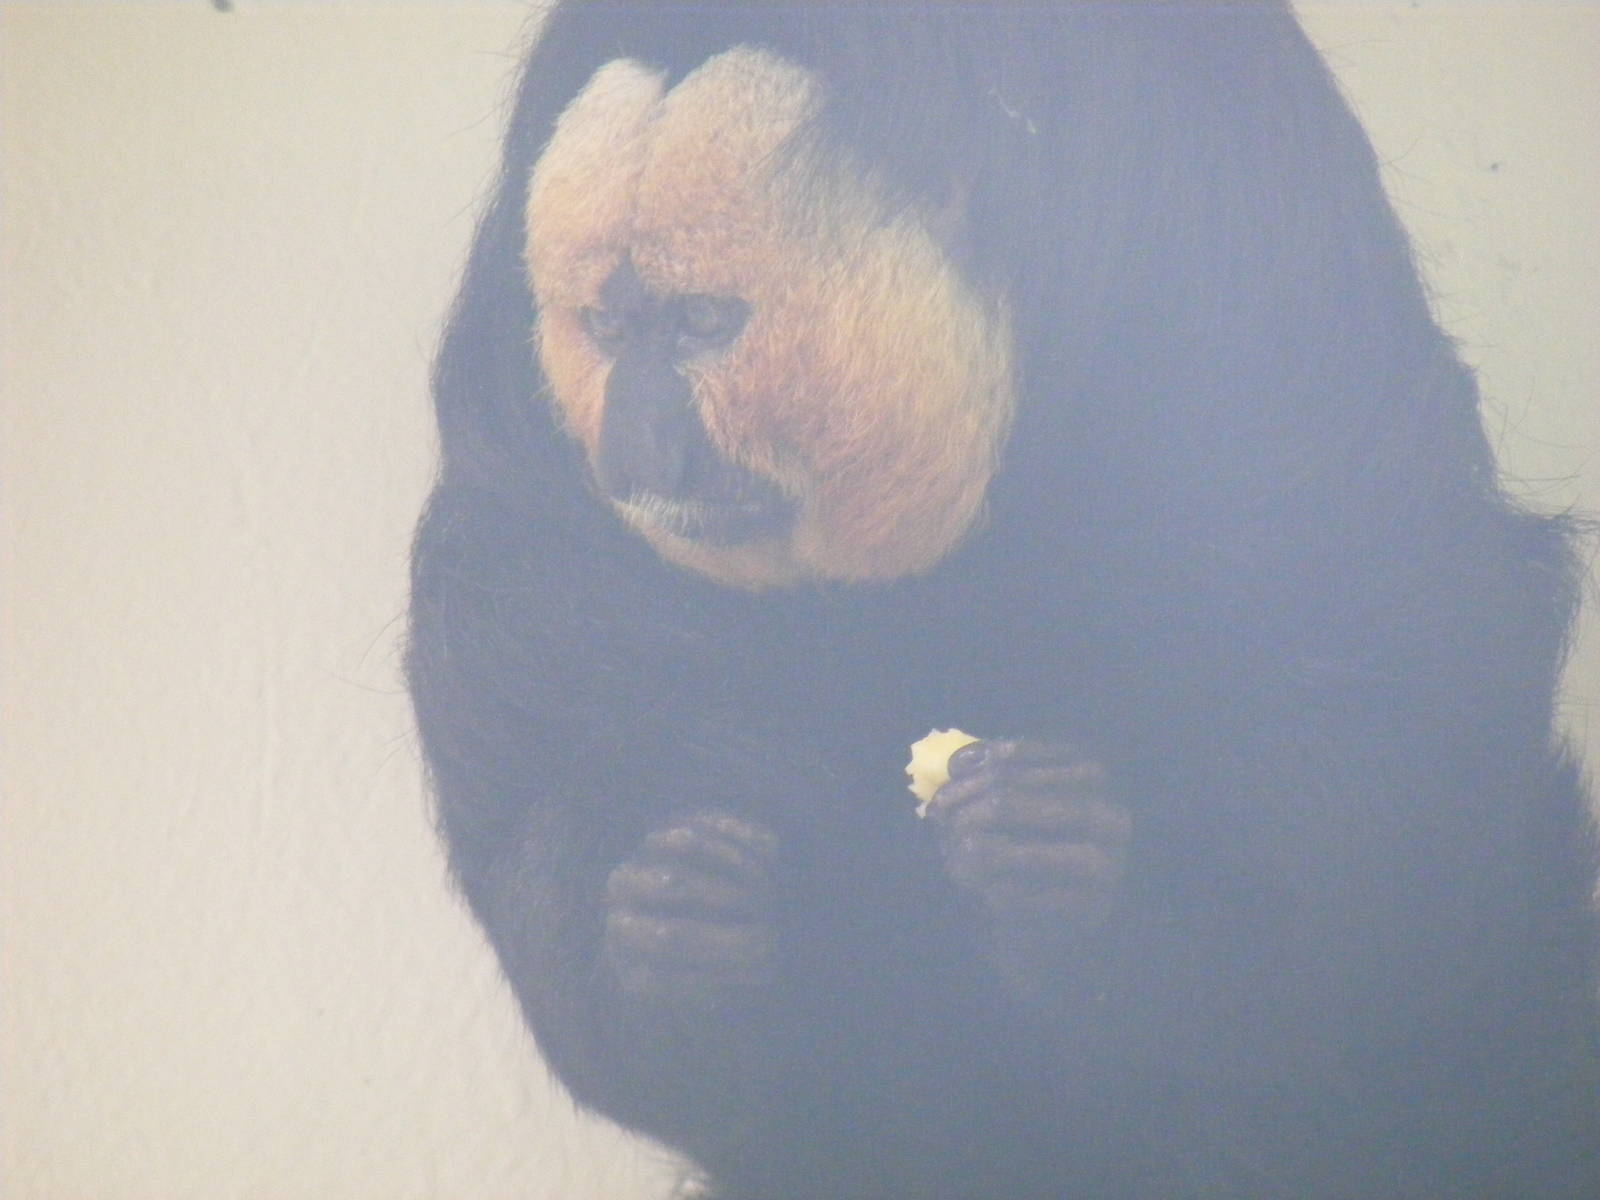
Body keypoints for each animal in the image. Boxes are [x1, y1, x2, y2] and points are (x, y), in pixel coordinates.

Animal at [406, 3, 1600, 1197]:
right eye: (609, 329)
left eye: (701, 321)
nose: (638, 447)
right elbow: (534, 610)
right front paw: (671, 939)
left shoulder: (1234, 228)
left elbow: (1364, 601)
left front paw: (1088, 881)